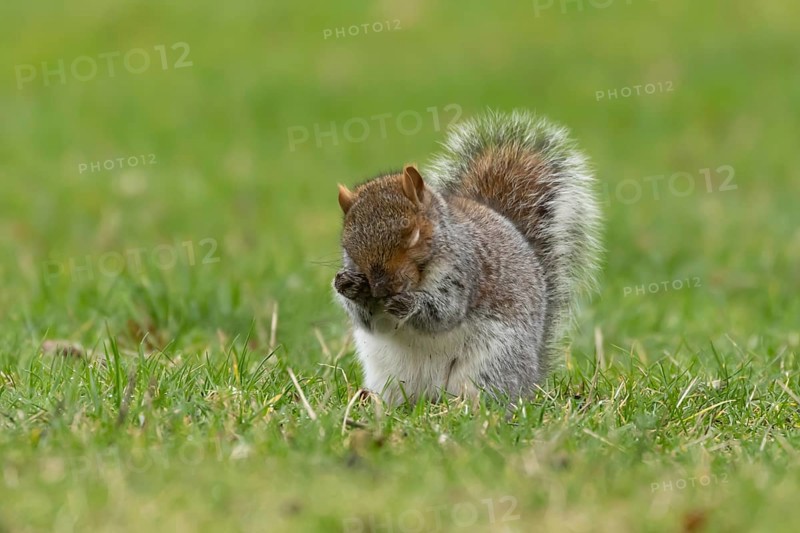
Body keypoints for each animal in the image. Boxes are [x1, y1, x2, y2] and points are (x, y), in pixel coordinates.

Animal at [333, 110, 601, 405]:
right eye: (347, 246)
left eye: (414, 234)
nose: (381, 289)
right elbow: (369, 320)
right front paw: (348, 285)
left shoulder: (465, 271)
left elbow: (444, 311)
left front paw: (408, 304)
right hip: (388, 374)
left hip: (491, 363)